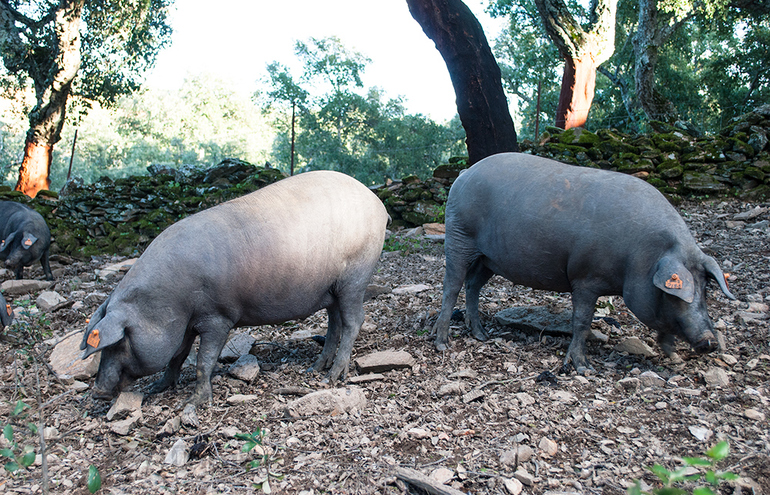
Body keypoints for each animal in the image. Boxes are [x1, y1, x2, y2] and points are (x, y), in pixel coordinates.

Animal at [81, 172, 388, 404]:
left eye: (119, 342)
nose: (97, 392)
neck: (169, 302)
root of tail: (378, 204)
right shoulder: (185, 324)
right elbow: (177, 356)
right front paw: (158, 388)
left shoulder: (218, 317)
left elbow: (203, 360)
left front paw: (194, 402)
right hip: (331, 290)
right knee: (334, 323)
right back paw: (315, 368)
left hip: (354, 278)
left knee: (353, 320)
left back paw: (333, 377)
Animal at [436, 153, 736, 374]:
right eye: (675, 294)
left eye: (705, 289)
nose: (710, 341)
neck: (640, 256)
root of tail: (464, 173)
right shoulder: (585, 278)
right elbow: (581, 321)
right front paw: (584, 368)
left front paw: (673, 356)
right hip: (459, 237)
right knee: (451, 286)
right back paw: (442, 344)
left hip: (488, 259)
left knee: (473, 285)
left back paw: (482, 336)